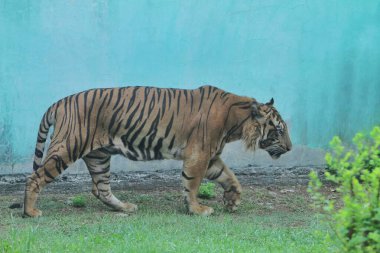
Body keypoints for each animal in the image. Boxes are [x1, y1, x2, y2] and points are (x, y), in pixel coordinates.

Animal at [23, 85, 290, 217]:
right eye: (278, 130)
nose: (289, 148)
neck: (236, 122)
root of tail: (59, 102)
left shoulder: (212, 157)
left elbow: (231, 178)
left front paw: (232, 202)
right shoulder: (199, 155)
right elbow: (193, 184)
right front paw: (197, 209)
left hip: (98, 156)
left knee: (101, 189)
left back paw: (125, 208)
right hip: (68, 146)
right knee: (34, 178)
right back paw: (31, 212)